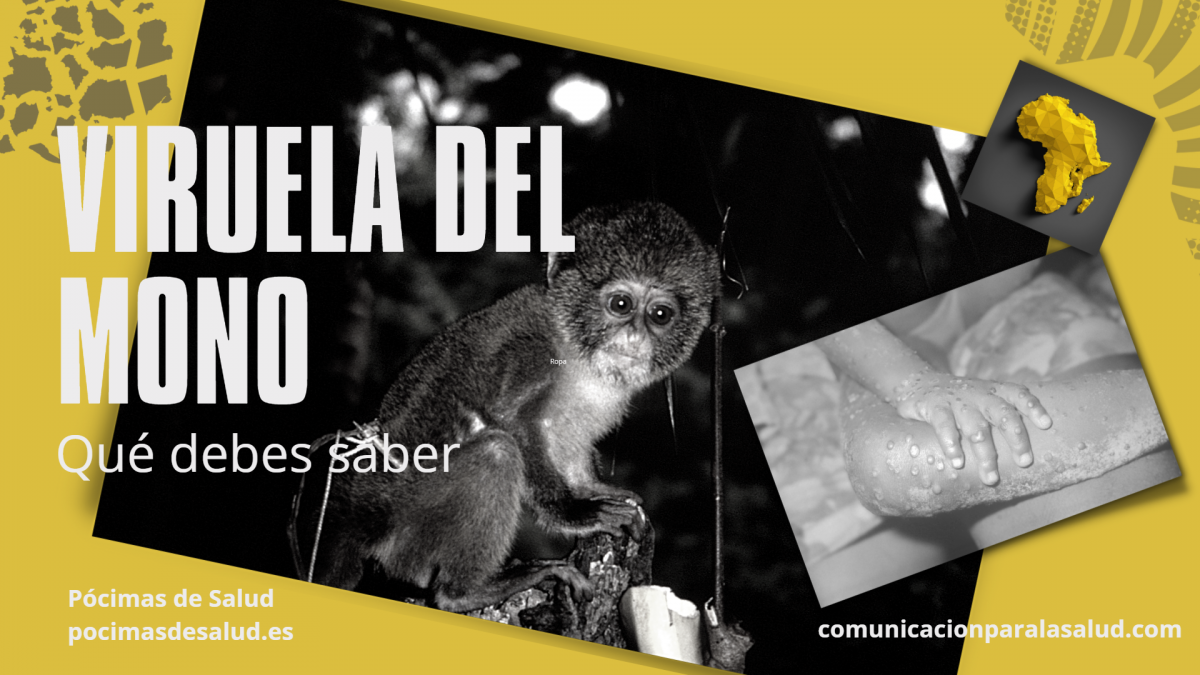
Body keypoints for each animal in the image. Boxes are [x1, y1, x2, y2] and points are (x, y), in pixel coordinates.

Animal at [289, 201, 720, 613]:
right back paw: (467, 592)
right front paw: (575, 514)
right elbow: (513, 423)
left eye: (660, 315)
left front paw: (594, 490)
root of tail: (363, 512)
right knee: (496, 453)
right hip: (408, 524)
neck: (574, 349)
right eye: (620, 304)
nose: (634, 338)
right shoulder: (527, 351)